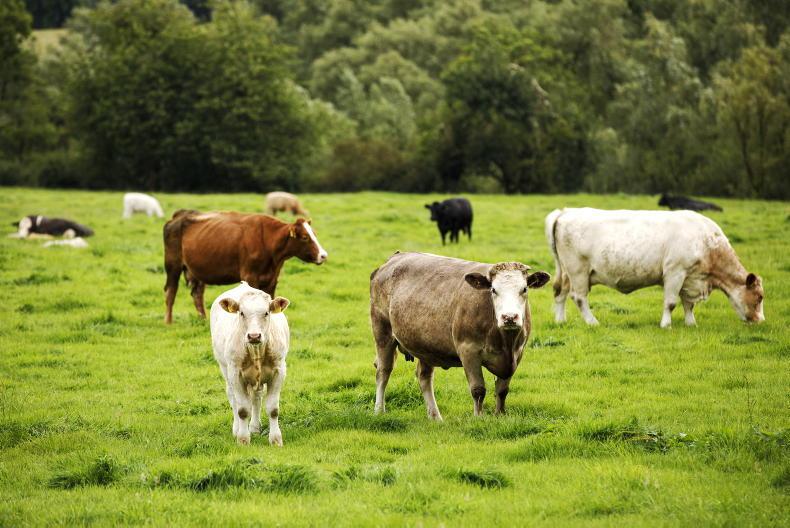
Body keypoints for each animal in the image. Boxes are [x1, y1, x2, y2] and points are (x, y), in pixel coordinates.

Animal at [163, 210, 327, 324]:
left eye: (315, 234)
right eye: (305, 237)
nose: (323, 255)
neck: (267, 241)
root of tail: (180, 215)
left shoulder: (272, 279)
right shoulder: (250, 276)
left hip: (196, 271)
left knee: (197, 294)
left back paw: (203, 319)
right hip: (173, 266)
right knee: (171, 292)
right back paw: (169, 322)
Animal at [210, 282, 290, 445]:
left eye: (266, 313)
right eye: (241, 313)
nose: (254, 336)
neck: (256, 351)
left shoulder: (279, 371)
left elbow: (273, 409)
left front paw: (276, 439)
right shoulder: (235, 374)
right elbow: (242, 410)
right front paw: (242, 439)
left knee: (256, 397)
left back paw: (254, 427)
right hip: (225, 368)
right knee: (233, 398)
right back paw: (236, 429)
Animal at [369, 252, 550, 420]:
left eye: (524, 289)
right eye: (493, 290)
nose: (509, 317)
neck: (505, 342)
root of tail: (396, 257)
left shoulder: (517, 354)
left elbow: (502, 390)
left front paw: (500, 415)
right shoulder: (468, 351)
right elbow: (478, 390)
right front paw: (478, 418)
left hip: (424, 346)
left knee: (424, 377)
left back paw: (435, 417)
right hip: (382, 331)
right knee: (383, 371)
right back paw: (379, 410)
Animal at [545, 208, 764, 328]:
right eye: (760, 297)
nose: (760, 321)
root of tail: (566, 212)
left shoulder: (689, 277)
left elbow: (688, 304)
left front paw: (691, 323)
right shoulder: (675, 272)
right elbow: (671, 302)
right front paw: (666, 325)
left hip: (567, 272)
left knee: (560, 293)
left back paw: (560, 321)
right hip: (578, 271)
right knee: (579, 298)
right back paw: (593, 322)